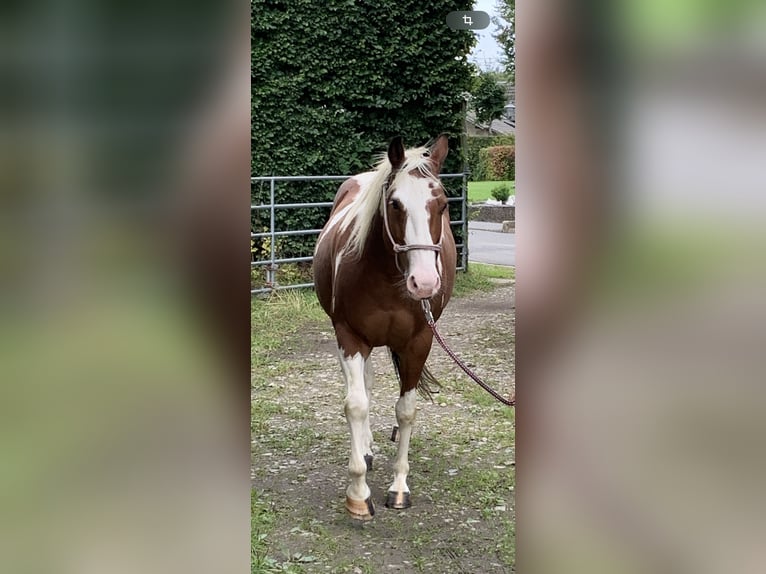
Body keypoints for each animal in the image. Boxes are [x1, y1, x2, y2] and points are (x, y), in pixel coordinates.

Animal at [312, 134, 457, 520]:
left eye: (443, 203)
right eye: (394, 203)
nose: (424, 283)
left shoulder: (419, 342)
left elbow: (406, 411)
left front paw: (399, 487)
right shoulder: (349, 337)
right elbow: (356, 405)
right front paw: (358, 494)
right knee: (365, 387)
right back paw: (364, 449)